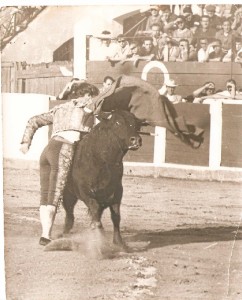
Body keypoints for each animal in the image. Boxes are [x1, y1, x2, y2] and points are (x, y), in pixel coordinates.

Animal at [61, 110, 143, 246]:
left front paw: (119, 243)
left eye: (136, 124)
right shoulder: (86, 192)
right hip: (67, 194)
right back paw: (63, 234)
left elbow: (116, 217)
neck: (104, 161)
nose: (135, 139)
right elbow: (95, 209)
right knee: (69, 213)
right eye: (117, 122)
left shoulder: (117, 193)